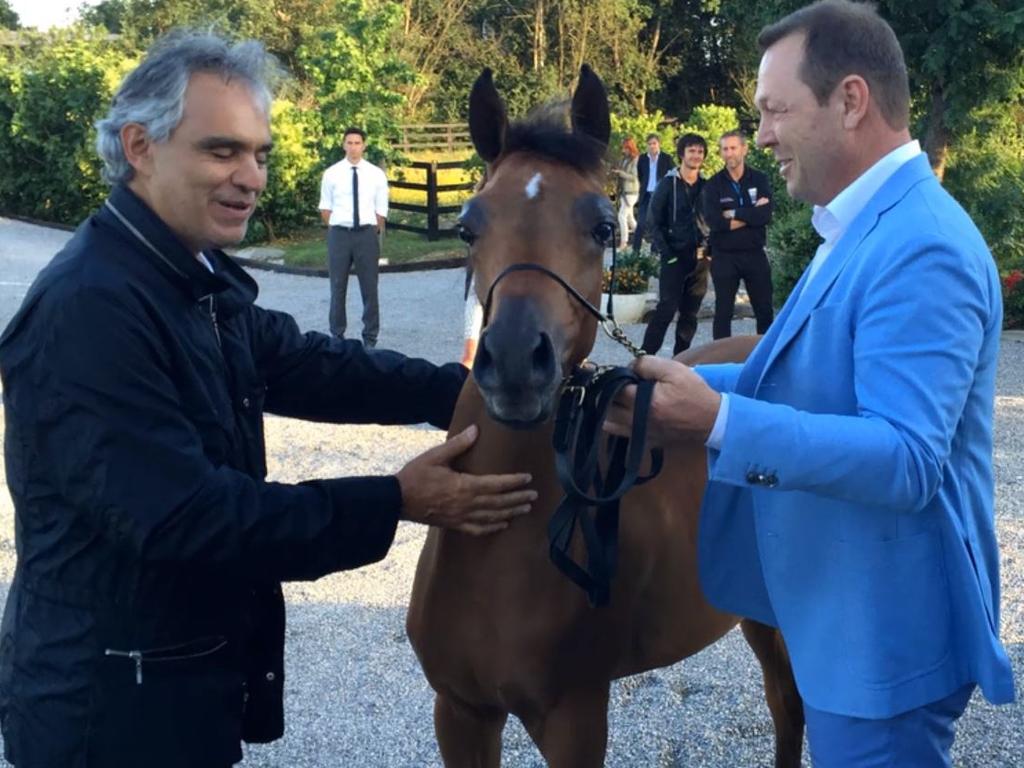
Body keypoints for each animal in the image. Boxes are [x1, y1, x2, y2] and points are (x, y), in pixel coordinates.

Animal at [403, 67, 802, 768]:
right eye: (468, 228)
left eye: (604, 228)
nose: (515, 360)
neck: (496, 556)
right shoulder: (460, 713)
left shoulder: (576, 720)